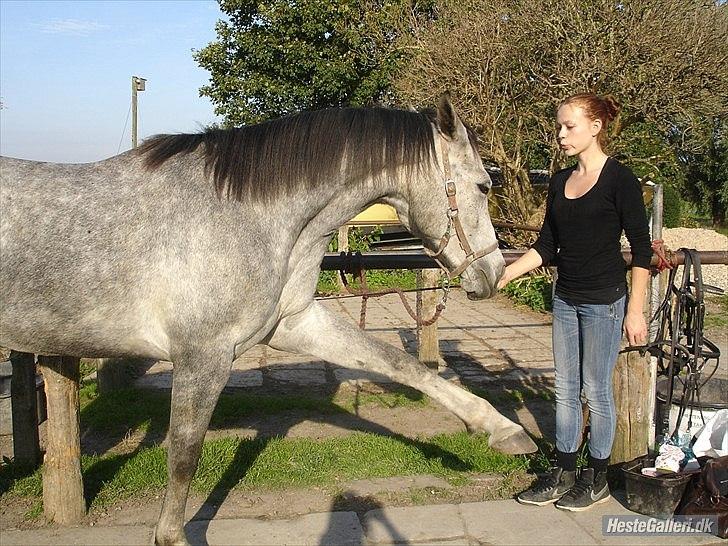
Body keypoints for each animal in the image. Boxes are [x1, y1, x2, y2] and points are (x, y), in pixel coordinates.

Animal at [0, 98, 536, 544]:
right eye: (484, 185)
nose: (494, 273)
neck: (245, 214)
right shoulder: (203, 357)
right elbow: (184, 456)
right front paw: (170, 535)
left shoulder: (293, 324)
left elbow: (399, 363)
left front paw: (502, 429)